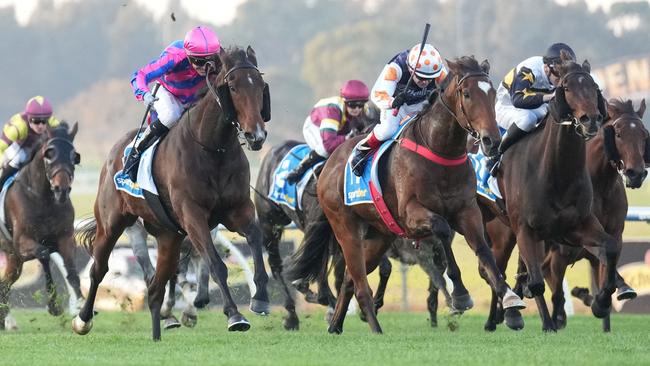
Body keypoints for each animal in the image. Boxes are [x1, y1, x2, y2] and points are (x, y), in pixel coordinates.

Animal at [0, 121, 81, 328]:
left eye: (74, 156)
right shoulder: (21, 243)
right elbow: (44, 255)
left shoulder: (65, 238)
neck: (43, 198)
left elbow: (71, 270)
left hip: (14, 260)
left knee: (5, 283)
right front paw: (54, 305)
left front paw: (80, 308)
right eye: (49, 154)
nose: (62, 189)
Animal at [72, 45, 270, 340]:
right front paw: (234, 315)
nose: (256, 135)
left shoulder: (238, 209)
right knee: (99, 269)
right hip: (112, 222)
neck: (212, 149)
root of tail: (113, 153)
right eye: (233, 87)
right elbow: (216, 264)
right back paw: (83, 319)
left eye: (259, 85)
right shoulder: (193, 215)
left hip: (168, 236)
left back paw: (162, 327)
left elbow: (256, 238)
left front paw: (260, 298)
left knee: (156, 284)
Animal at [286, 57, 524, 334]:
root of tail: (329, 164)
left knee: (349, 280)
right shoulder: (412, 213)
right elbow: (442, 230)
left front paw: (509, 299)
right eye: (466, 93)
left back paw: (336, 326)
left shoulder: (467, 211)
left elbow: (484, 250)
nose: (491, 141)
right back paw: (375, 328)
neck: (439, 153)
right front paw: (461, 294)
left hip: (379, 236)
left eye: (493, 93)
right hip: (345, 228)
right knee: (359, 282)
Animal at [480, 52, 612, 332]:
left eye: (593, 86)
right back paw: (496, 318)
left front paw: (601, 302)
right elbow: (536, 282)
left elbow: (610, 247)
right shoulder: (526, 229)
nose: (591, 119)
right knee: (495, 268)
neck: (556, 172)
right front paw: (548, 323)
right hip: (501, 232)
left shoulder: (577, 225)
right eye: (567, 88)